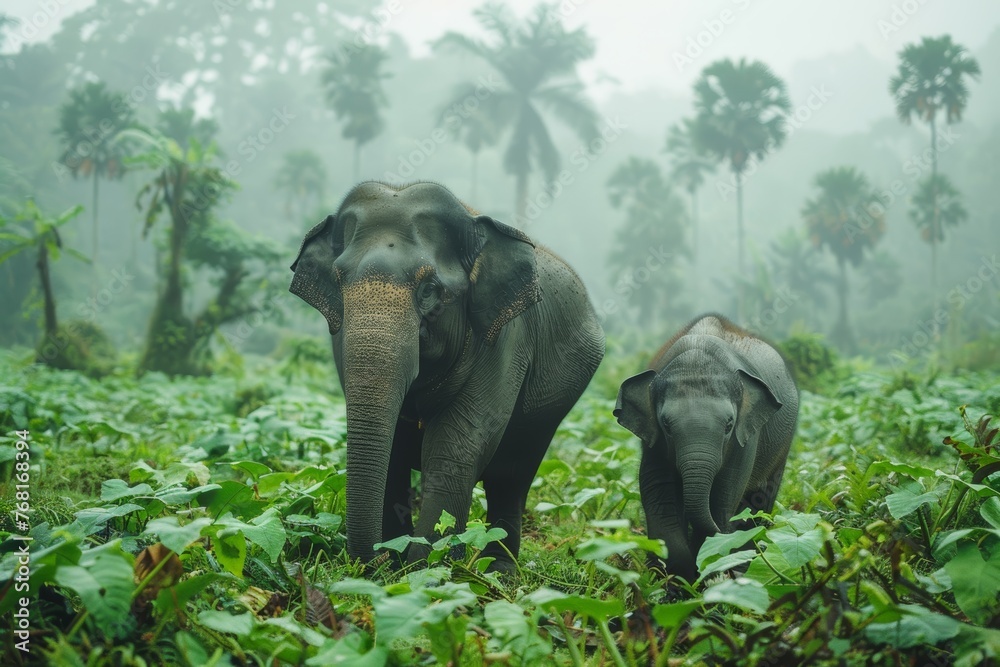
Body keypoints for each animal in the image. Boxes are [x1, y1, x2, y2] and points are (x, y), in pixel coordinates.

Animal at [289, 181, 605, 571]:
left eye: (429, 290)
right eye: (338, 280)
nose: (375, 559)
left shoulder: (506, 337)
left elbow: (455, 447)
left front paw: (427, 571)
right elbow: (391, 451)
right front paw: (396, 566)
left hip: (551, 410)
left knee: (510, 478)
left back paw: (499, 572)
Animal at [614, 314, 798, 580]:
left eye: (729, 424)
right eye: (666, 425)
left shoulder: (745, 439)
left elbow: (723, 498)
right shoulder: (653, 443)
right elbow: (661, 498)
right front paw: (676, 580)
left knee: (760, 499)